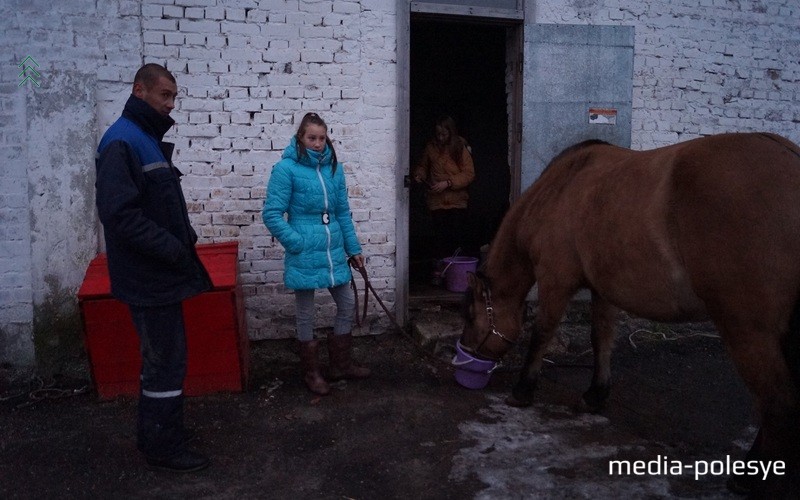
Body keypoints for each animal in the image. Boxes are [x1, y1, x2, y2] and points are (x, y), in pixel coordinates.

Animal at [460, 132, 800, 492]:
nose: (465, 354)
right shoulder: (602, 289)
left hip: (747, 331)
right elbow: (601, 338)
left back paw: (750, 478)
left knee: (778, 403)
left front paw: (523, 390)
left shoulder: (555, 280)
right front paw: (595, 395)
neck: (559, 190)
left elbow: (542, 334)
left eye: (469, 315)